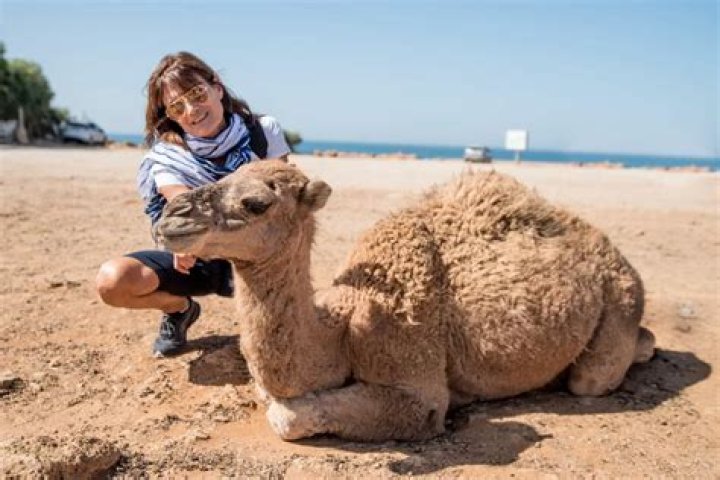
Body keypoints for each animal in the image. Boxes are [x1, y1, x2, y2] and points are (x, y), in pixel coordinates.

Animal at [155, 160, 655, 442]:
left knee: (594, 376)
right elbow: (270, 394)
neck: (346, 322)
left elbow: (290, 417)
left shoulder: (418, 388)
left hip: (620, 295)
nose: (170, 217)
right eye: (221, 175)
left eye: (256, 203)